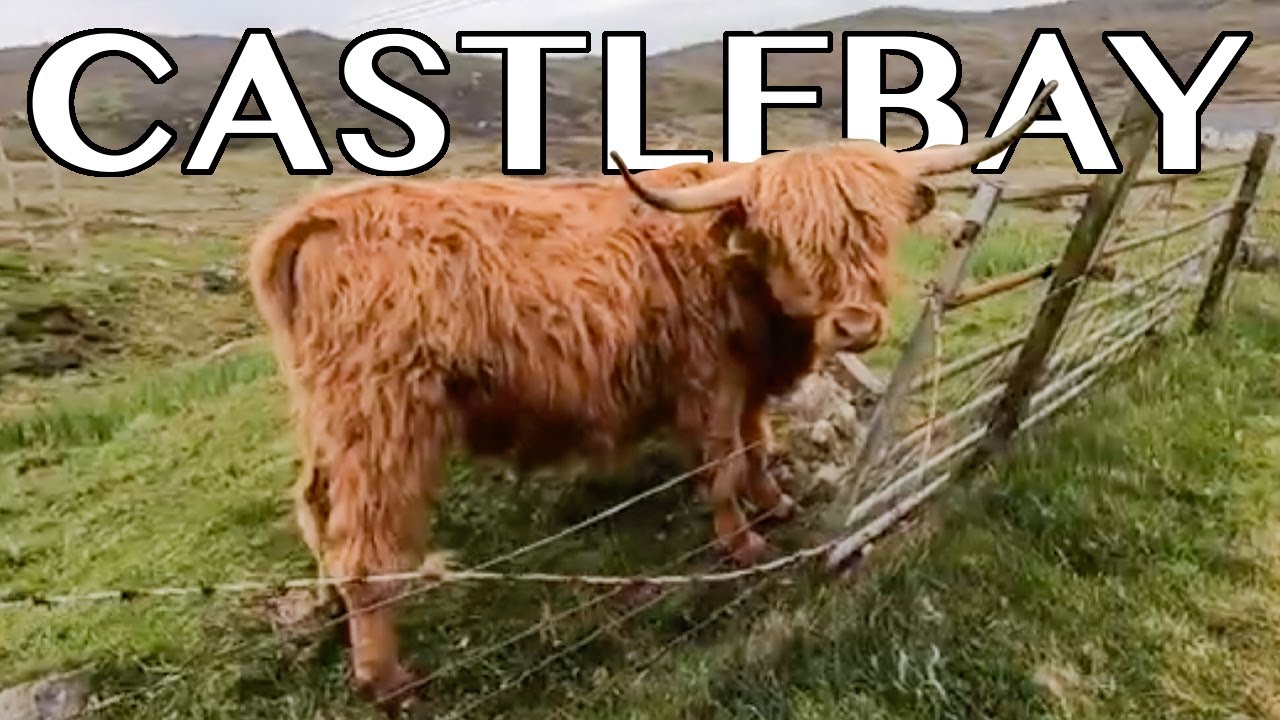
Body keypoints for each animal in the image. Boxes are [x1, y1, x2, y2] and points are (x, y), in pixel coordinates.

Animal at [246, 82, 1056, 711]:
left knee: (316, 506)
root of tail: (317, 219)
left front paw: (777, 503)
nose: (856, 324)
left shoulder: (748, 380)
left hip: (329, 416)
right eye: (791, 239)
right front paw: (743, 542)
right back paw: (386, 676)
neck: (739, 276)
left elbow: (758, 444)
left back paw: (328, 603)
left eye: (877, 231)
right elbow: (723, 463)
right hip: (384, 416)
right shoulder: (708, 381)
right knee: (364, 543)